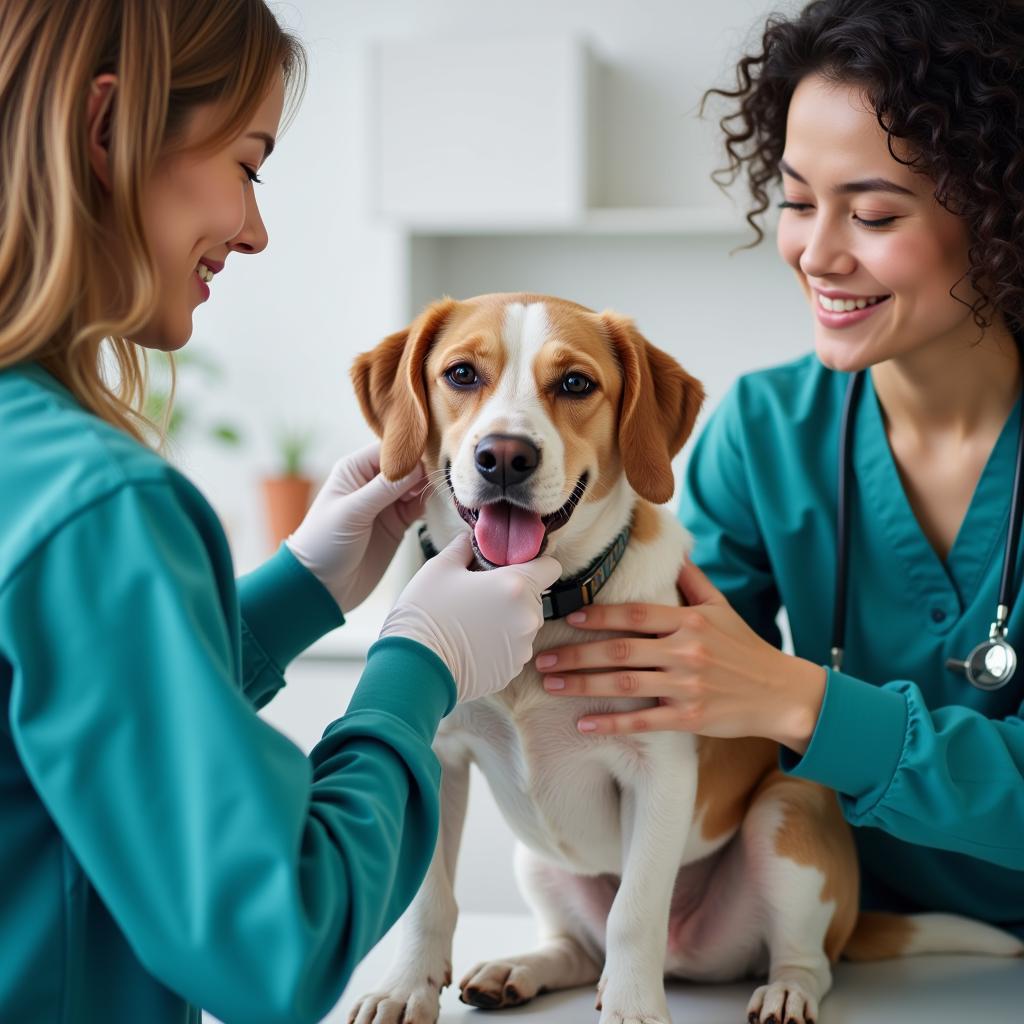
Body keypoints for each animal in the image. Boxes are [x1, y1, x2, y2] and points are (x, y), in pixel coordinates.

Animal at [346, 292, 1024, 1024]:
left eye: (576, 383)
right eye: (462, 374)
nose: (505, 455)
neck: (539, 608)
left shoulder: (660, 774)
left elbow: (634, 912)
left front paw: (633, 1007)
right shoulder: (437, 761)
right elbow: (430, 901)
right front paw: (404, 989)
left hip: (787, 816)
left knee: (805, 960)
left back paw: (782, 990)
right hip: (540, 864)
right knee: (576, 949)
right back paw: (520, 968)